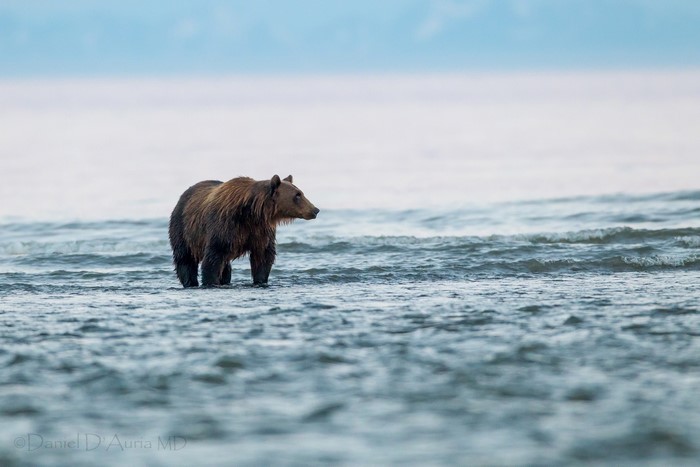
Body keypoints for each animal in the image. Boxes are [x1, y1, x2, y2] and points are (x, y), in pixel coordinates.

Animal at [168, 174, 319, 288]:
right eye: (298, 195)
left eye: (301, 193)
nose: (315, 209)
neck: (251, 212)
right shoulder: (224, 227)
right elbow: (212, 258)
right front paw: (210, 281)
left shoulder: (260, 231)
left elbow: (263, 256)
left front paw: (260, 280)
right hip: (182, 228)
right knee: (185, 258)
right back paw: (190, 282)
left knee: (225, 267)